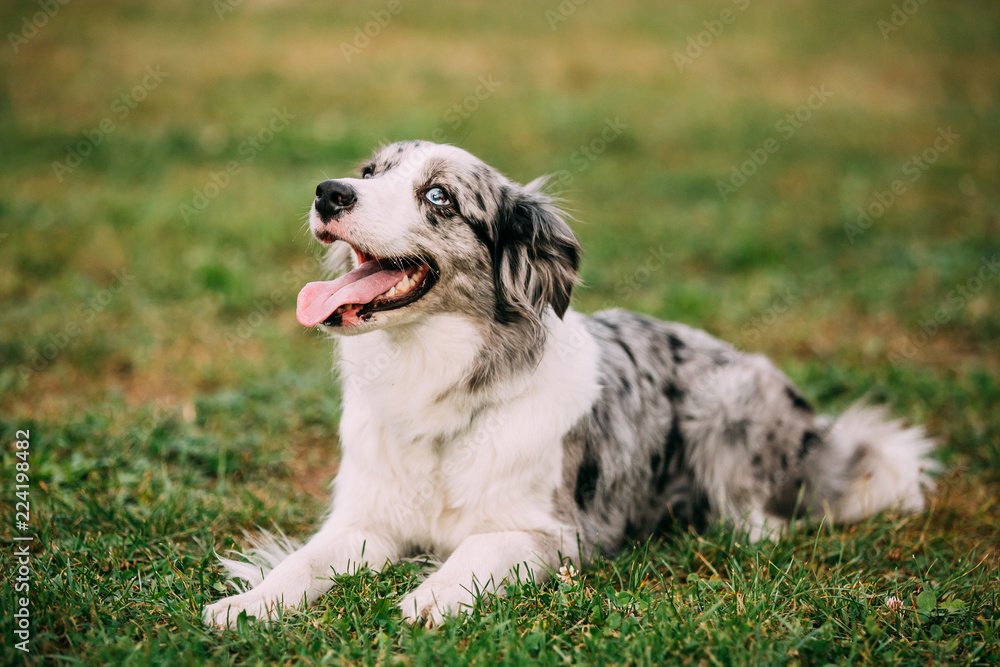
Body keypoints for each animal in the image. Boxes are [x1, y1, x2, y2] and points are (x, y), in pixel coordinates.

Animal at [203, 138, 936, 628]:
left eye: (439, 197)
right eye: (368, 173)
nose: (329, 192)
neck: (436, 389)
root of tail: (816, 429)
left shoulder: (550, 532)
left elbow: (477, 547)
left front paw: (430, 595)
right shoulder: (367, 518)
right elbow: (304, 561)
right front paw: (248, 602)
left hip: (724, 403)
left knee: (769, 517)